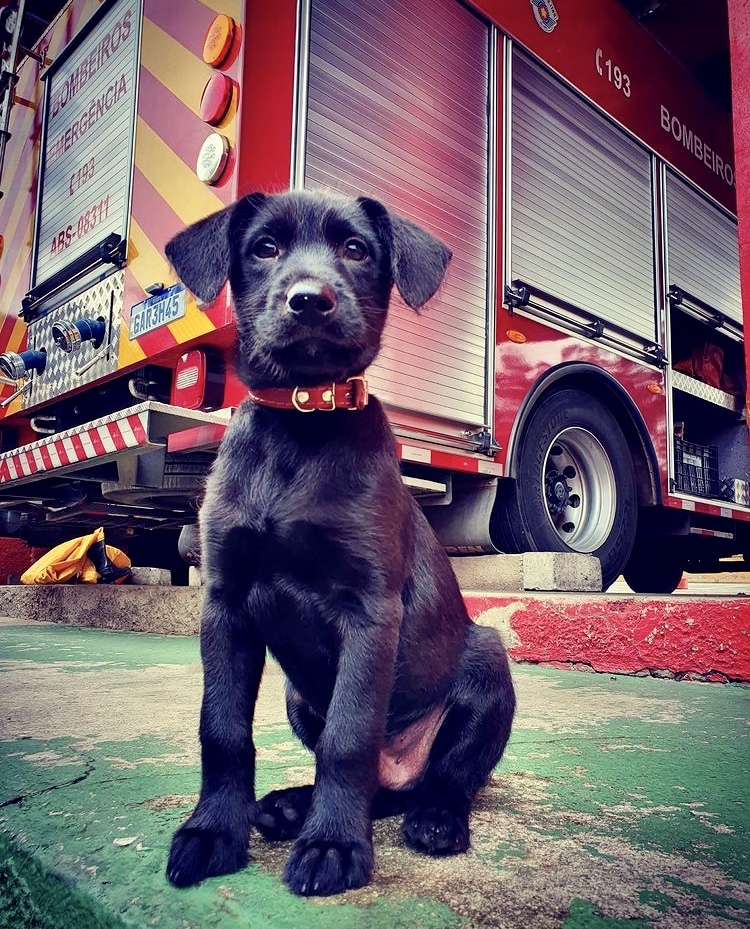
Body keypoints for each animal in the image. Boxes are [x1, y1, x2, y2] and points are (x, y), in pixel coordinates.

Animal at [164, 188, 516, 892]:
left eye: (355, 248)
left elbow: (348, 739)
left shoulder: (369, 610)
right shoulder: (225, 604)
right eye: (265, 247)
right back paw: (289, 807)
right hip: (299, 694)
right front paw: (213, 831)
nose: (310, 300)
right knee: (383, 789)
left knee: (441, 780)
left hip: (489, 665)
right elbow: (222, 730)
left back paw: (431, 818)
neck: (302, 427)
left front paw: (333, 845)